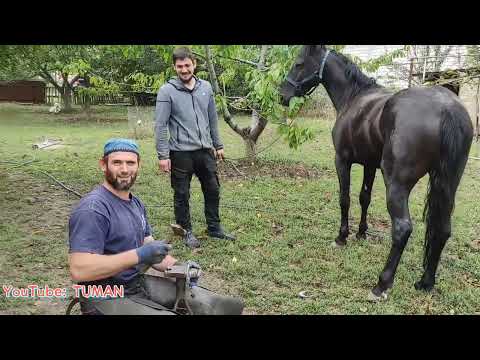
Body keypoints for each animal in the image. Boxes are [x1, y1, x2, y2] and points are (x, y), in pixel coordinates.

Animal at [280, 45, 474, 300]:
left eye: (299, 64)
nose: (282, 95)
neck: (354, 98)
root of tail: (447, 108)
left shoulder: (342, 160)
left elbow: (345, 199)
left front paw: (342, 237)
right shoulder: (369, 164)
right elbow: (365, 198)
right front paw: (361, 233)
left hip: (397, 185)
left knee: (402, 228)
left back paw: (382, 284)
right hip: (448, 185)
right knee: (442, 229)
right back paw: (426, 282)